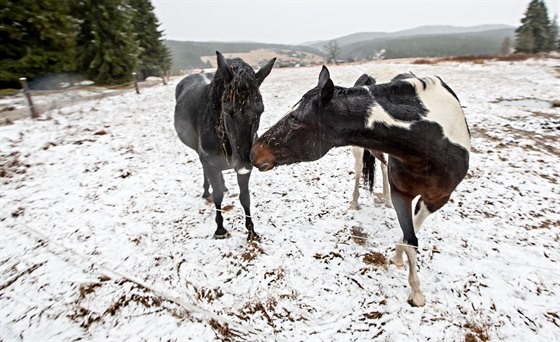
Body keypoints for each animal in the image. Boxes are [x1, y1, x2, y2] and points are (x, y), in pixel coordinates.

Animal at [173, 52, 274, 240]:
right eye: (227, 110)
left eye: (260, 110)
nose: (243, 163)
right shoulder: (210, 163)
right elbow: (217, 196)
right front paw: (220, 229)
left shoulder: (244, 171)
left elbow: (245, 197)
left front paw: (251, 230)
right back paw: (206, 191)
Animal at [252, 65, 470, 306]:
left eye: (295, 119)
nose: (253, 151)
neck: (430, 143)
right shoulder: (402, 193)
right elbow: (410, 238)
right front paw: (412, 284)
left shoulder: (436, 199)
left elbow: (410, 236)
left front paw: (411, 282)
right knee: (360, 171)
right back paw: (356, 202)